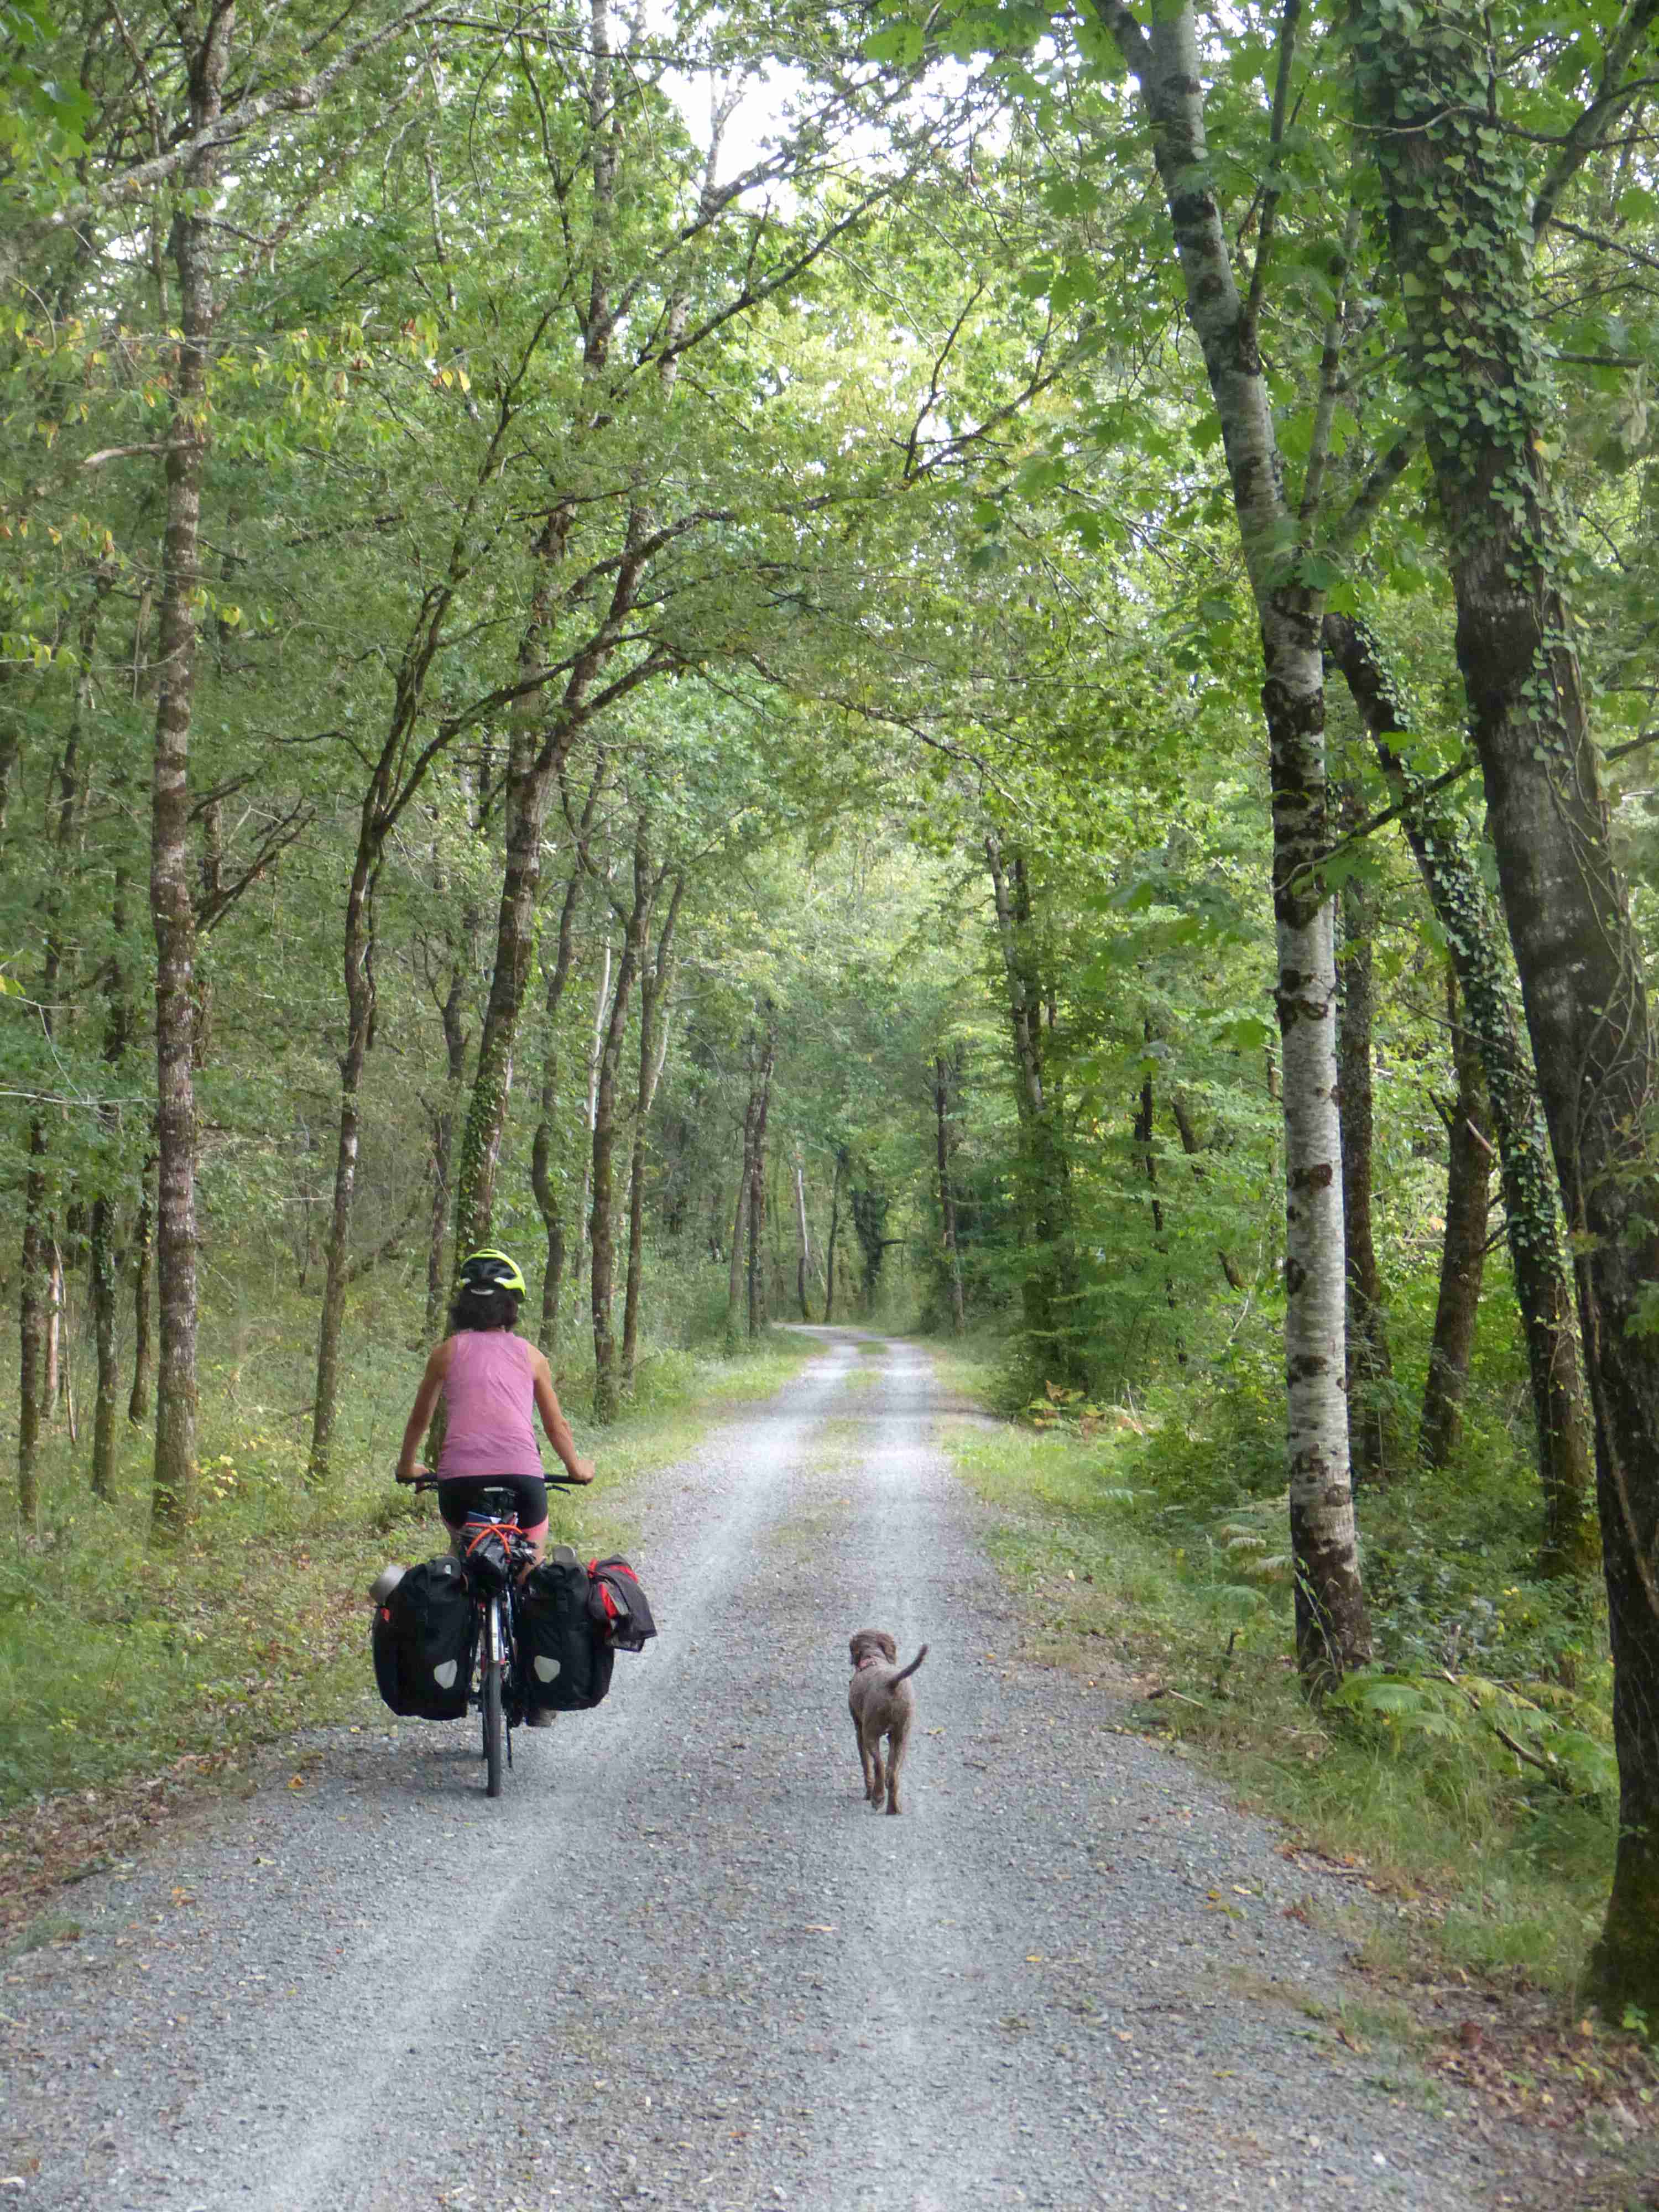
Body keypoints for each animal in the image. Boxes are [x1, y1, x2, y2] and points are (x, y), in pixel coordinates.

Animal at [849, 1628, 929, 1814]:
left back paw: (877, 1798)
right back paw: (893, 1808)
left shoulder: (859, 1731)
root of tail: (892, 1683)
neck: (873, 1658)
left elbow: (866, 1765)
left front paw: (868, 1793)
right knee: (892, 1774)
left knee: (878, 1765)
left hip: (870, 1734)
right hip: (902, 1736)